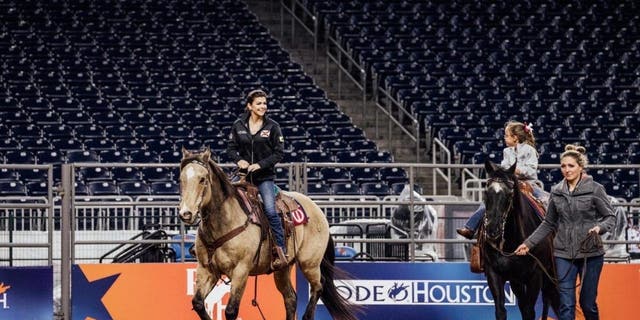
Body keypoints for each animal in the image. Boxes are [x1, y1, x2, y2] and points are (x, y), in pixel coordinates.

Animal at [179, 149, 360, 320]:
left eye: (202, 179)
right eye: (181, 180)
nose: (186, 214)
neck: (224, 223)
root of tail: (318, 210)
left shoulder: (241, 270)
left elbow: (231, 310)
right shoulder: (207, 269)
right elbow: (198, 303)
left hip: (310, 263)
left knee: (318, 287)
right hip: (283, 269)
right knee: (291, 298)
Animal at [482, 161, 556, 320]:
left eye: (510, 194)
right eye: (486, 192)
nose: (492, 229)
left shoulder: (535, 276)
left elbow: (529, 312)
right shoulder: (494, 273)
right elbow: (501, 311)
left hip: (551, 273)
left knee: (547, 299)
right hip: (516, 280)